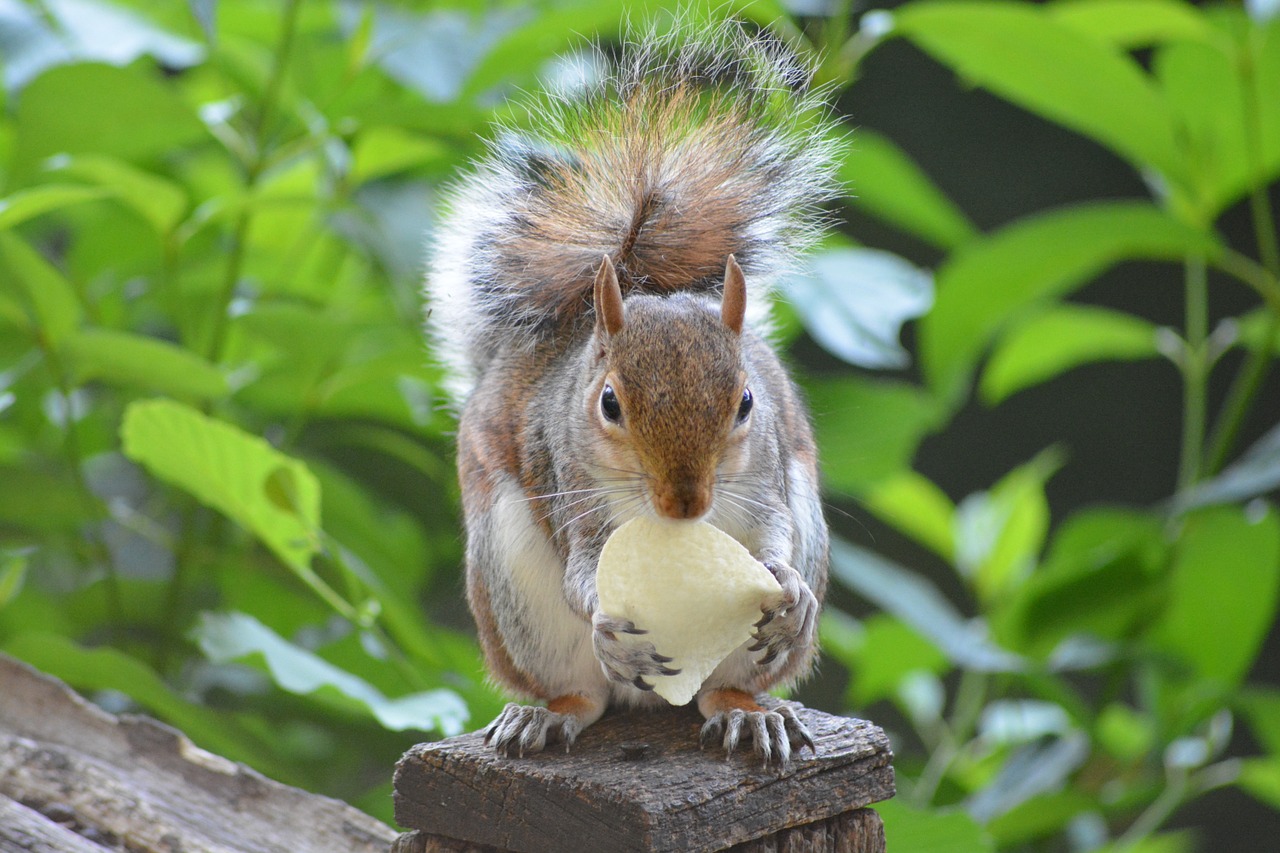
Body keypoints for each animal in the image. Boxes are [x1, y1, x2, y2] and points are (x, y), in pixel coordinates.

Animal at [419, 16, 839, 763]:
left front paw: (790, 591)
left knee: (720, 688)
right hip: (512, 587)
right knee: (580, 691)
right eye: (609, 403)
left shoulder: (765, 476)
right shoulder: (570, 483)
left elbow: (775, 531)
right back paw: (548, 714)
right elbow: (583, 570)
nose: (686, 502)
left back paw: (747, 710)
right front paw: (605, 620)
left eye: (747, 402)